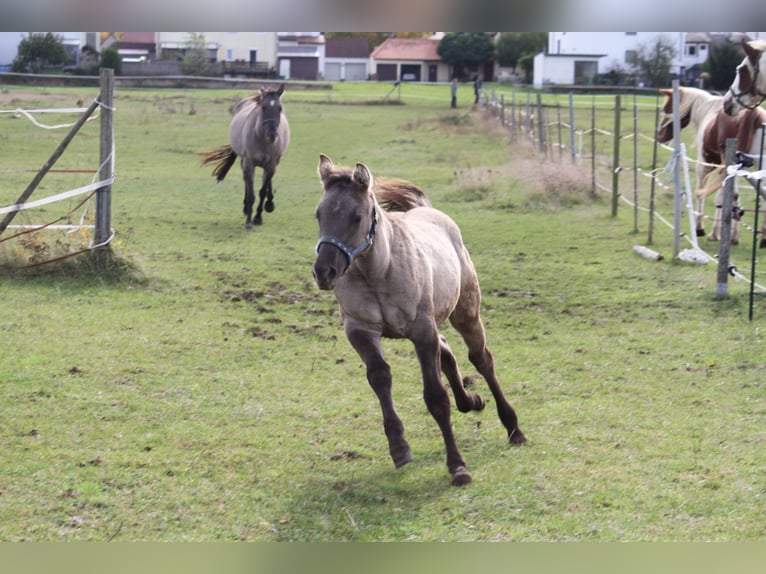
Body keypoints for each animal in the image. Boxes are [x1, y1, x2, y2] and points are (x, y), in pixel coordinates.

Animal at [201, 85, 292, 230]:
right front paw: (249, 221)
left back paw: (269, 204)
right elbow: (251, 194)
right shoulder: (249, 164)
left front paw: (258, 217)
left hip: (273, 163)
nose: (272, 136)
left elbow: (262, 191)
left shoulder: (271, 164)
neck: (261, 138)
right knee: (246, 181)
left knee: (267, 182)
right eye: (263, 108)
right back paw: (246, 207)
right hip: (244, 161)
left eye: (279, 108)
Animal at [312, 155, 528, 488]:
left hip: (465, 312)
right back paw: (471, 401)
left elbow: (436, 397)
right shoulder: (360, 330)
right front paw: (399, 448)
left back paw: (513, 428)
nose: (324, 272)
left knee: (481, 358)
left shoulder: (421, 330)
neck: (379, 272)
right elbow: (380, 378)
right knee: (447, 351)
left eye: (357, 217)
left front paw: (458, 467)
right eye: (319, 214)